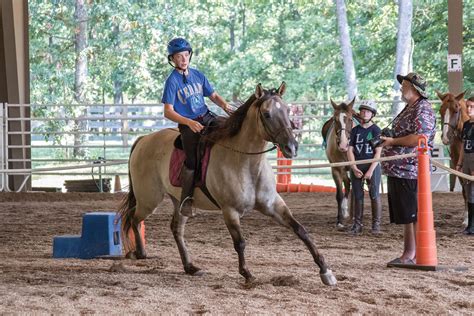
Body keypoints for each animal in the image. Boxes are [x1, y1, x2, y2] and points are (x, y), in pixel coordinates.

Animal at [120, 82, 338, 286]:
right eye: (267, 114)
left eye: (286, 110)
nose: (291, 147)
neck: (246, 163)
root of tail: (143, 140)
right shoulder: (230, 211)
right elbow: (240, 242)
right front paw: (247, 274)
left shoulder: (274, 205)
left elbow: (301, 230)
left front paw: (326, 271)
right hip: (149, 199)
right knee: (133, 218)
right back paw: (138, 252)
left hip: (178, 202)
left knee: (176, 228)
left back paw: (190, 266)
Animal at [320, 98, 358, 227]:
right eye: (335, 120)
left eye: (350, 119)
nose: (343, 144)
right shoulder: (336, 170)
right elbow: (339, 195)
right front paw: (339, 220)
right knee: (347, 183)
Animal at [436, 90, 470, 226]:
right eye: (441, 110)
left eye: (456, 110)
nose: (445, 137)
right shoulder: (457, 167)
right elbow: (465, 191)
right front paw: (466, 219)